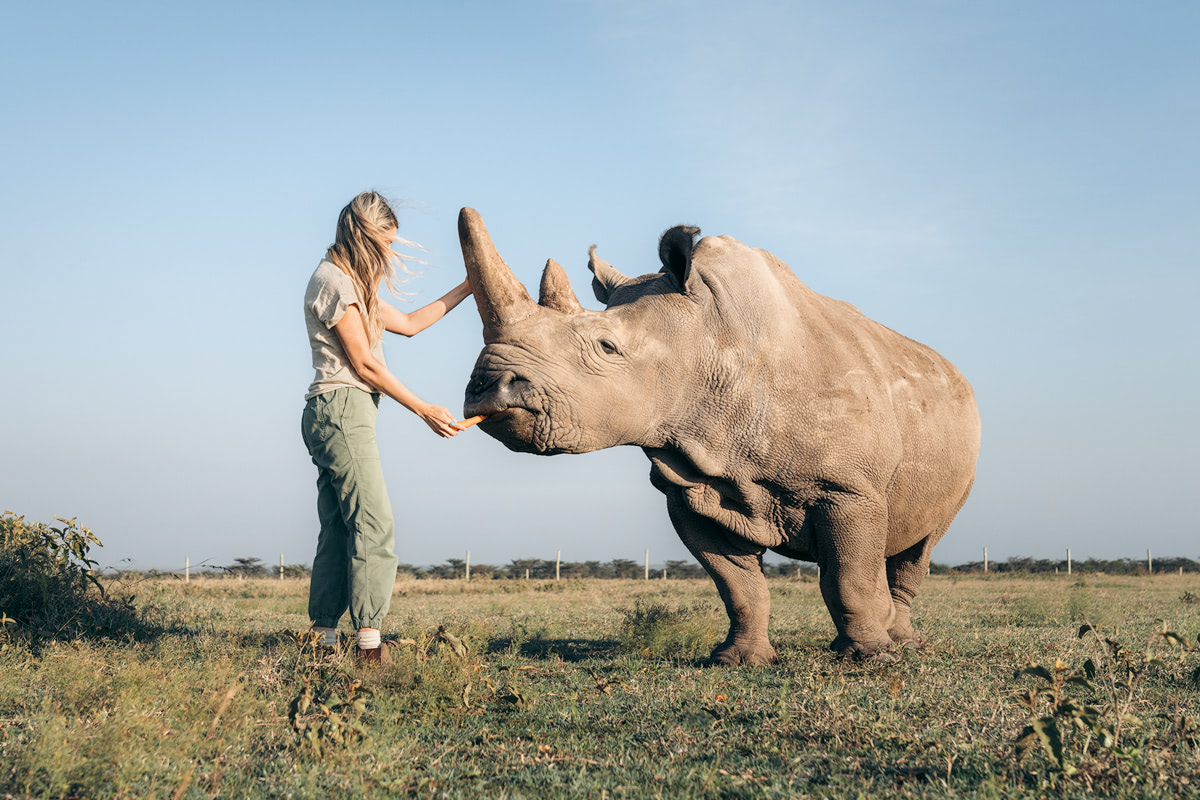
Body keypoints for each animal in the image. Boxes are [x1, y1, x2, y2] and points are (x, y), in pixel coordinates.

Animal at [453, 206, 979, 662]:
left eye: (607, 347)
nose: (485, 387)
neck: (707, 340)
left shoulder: (848, 487)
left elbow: (849, 577)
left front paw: (872, 659)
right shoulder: (692, 486)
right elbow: (737, 585)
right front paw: (738, 660)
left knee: (920, 546)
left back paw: (901, 643)